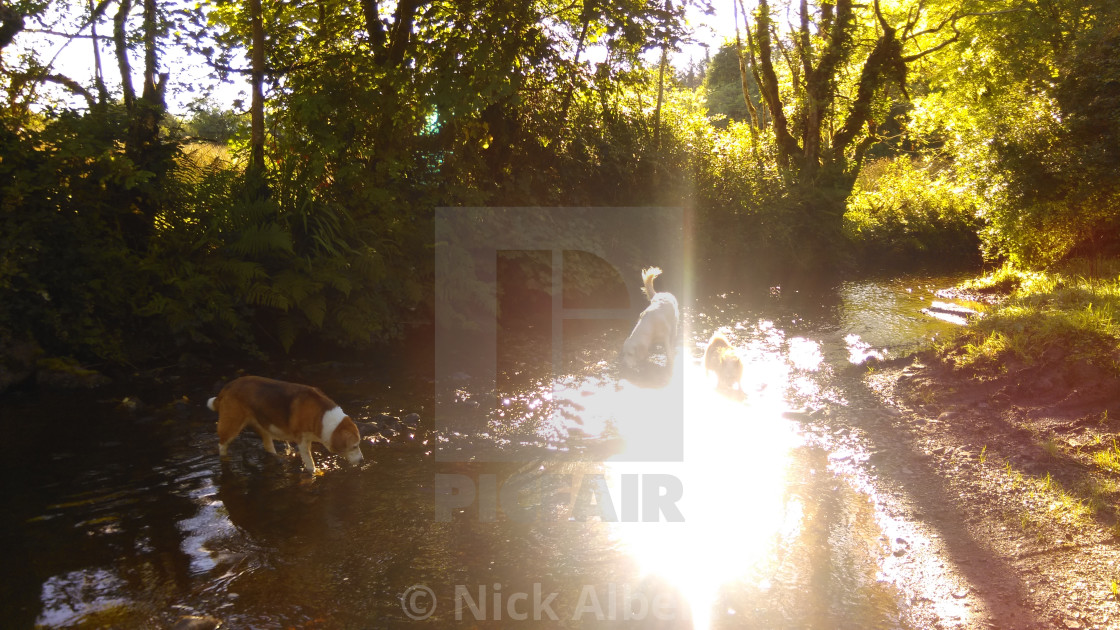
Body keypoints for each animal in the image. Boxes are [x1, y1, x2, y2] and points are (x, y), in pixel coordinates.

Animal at [209, 372, 362, 470]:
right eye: (354, 446)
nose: (362, 460)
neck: (321, 415)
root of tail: (227, 387)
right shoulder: (302, 442)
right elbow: (310, 464)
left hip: (263, 427)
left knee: (268, 445)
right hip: (231, 425)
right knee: (222, 444)